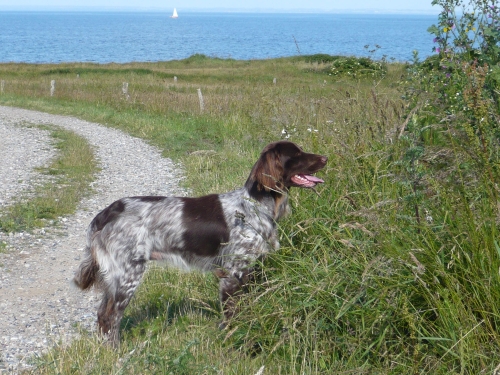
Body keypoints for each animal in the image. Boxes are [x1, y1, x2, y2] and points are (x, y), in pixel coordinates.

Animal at [71, 140, 328, 346]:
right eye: (296, 154)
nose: (325, 158)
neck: (254, 205)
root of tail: (107, 212)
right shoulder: (231, 274)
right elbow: (232, 316)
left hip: (117, 276)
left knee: (102, 314)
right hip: (128, 274)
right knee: (110, 316)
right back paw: (115, 351)